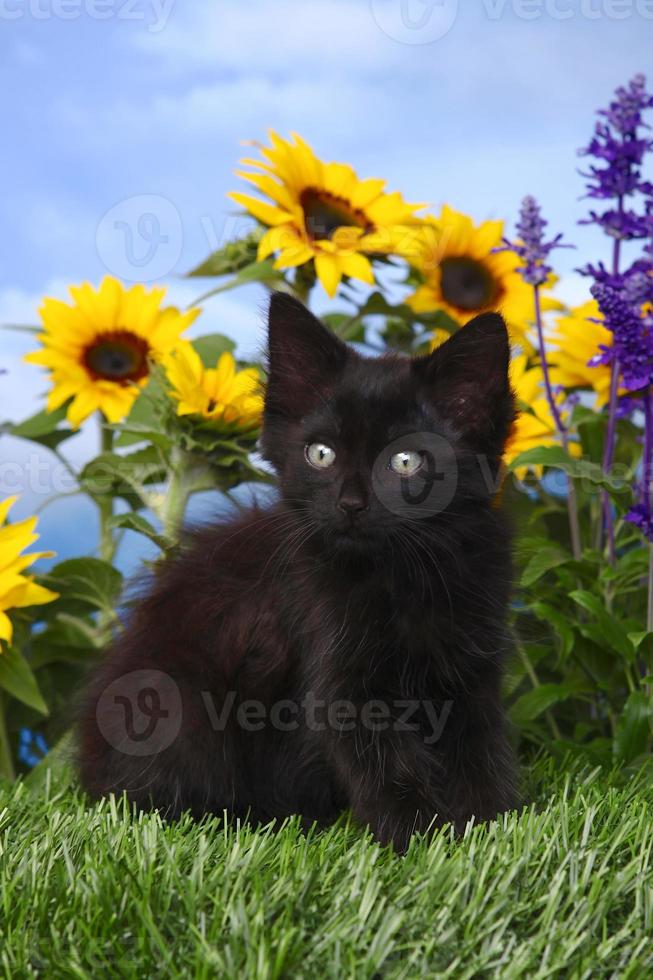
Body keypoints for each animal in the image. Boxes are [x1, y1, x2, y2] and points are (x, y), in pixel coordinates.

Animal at [80, 290, 520, 848]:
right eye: (321, 454)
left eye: (405, 461)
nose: (350, 504)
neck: (400, 576)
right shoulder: (339, 679)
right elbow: (385, 762)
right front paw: (417, 833)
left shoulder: (471, 663)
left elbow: (478, 751)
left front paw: (491, 826)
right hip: (177, 702)